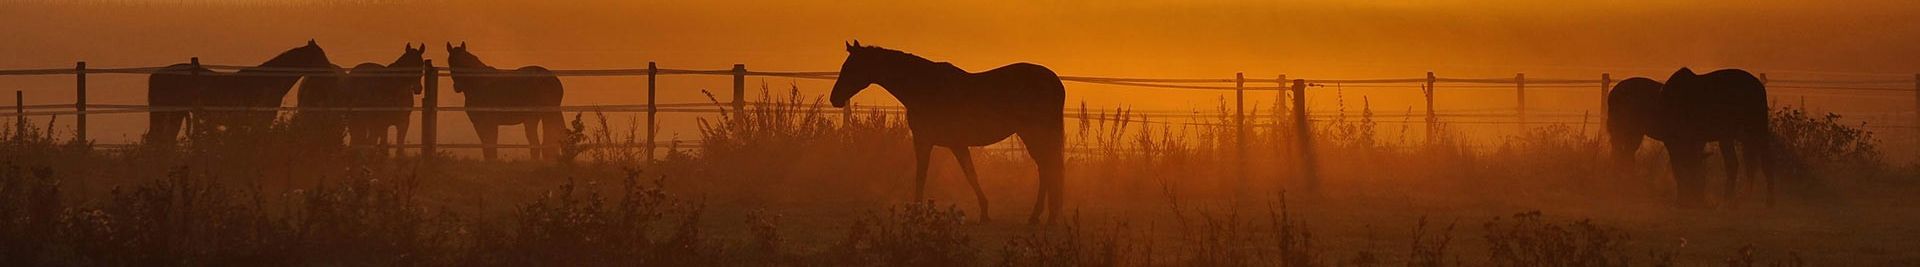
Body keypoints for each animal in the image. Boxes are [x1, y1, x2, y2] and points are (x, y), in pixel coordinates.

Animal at [148, 39, 334, 143]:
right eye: (320, 56)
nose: (332, 73)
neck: (269, 79)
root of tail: (156, 74)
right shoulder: (262, 120)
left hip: (174, 115)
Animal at [825, 41, 1067, 223]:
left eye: (851, 67)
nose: (834, 98)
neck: (924, 87)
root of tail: (1055, 81)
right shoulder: (952, 144)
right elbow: (969, 174)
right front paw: (984, 211)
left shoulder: (928, 141)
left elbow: (925, 175)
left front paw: (917, 212)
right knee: (1046, 168)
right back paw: (1043, 216)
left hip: (1034, 134)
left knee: (1047, 168)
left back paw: (1041, 216)